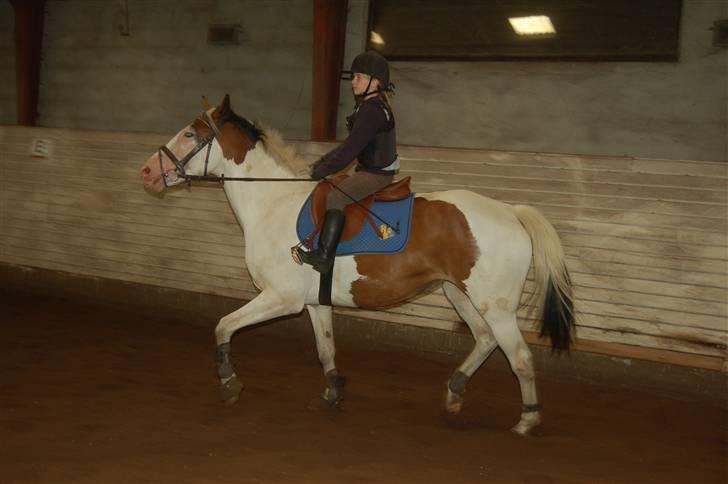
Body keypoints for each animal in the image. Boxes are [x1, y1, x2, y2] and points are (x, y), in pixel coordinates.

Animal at [141, 94, 576, 434]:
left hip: (495, 304)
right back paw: (454, 393)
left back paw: (527, 420)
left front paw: (229, 382)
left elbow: (223, 326)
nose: (147, 172)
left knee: (519, 357)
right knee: (485, 339)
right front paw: (332, 392)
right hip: (459, 293)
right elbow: (326, 349)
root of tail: (511, 211)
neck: (271, 203)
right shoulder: (314, 302)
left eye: (190, 134)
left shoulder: (280, 298)